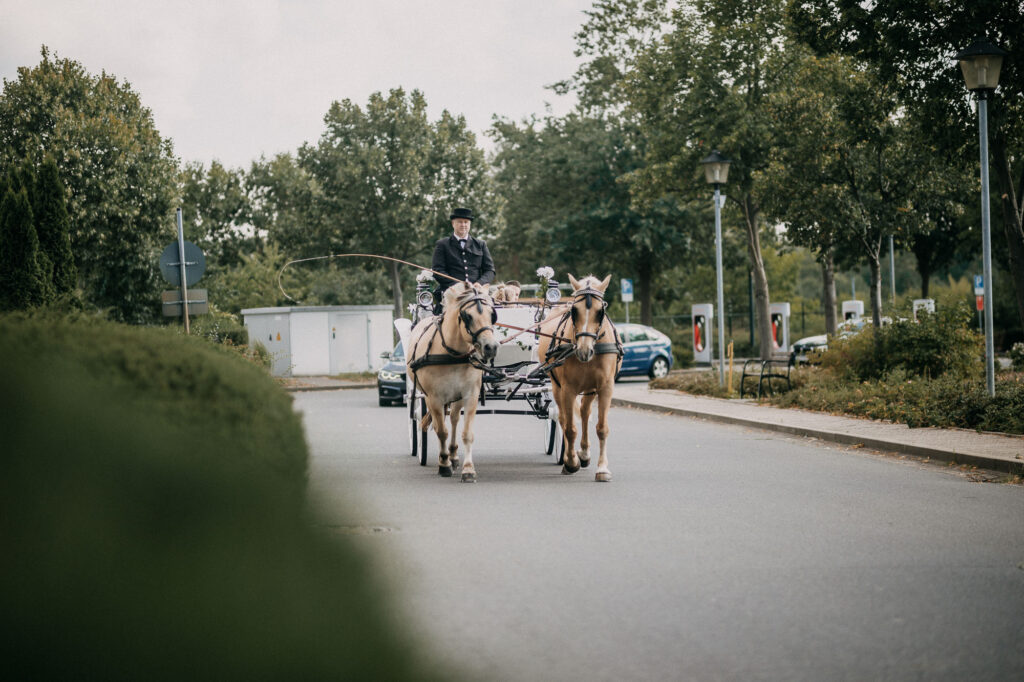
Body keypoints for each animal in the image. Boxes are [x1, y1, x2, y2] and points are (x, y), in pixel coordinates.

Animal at [405, 278, 497, 481]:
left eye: (492, 314)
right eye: (468, 316)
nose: (491, 347)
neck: (453, 353)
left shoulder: (470, 395)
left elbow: (467, 433)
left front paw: (468, 469)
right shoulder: (434, 398)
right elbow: (441, 431)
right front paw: (444, 464)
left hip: (457, 397)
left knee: (454, 418)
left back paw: (454, 456)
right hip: (427, 396)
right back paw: (446, 458)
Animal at [536, 274, 622, 481]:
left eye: (600, 311)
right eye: (575, 311)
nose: (584, 351)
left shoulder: (605, 387)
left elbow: (601, 427)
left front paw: (602, 468)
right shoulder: (568, 389)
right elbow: (569, 428)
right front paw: (571, 462)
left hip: (590, 388)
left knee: (584, 412)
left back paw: (583, 453)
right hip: (556, 387)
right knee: (563, 418)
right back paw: (572, 457)